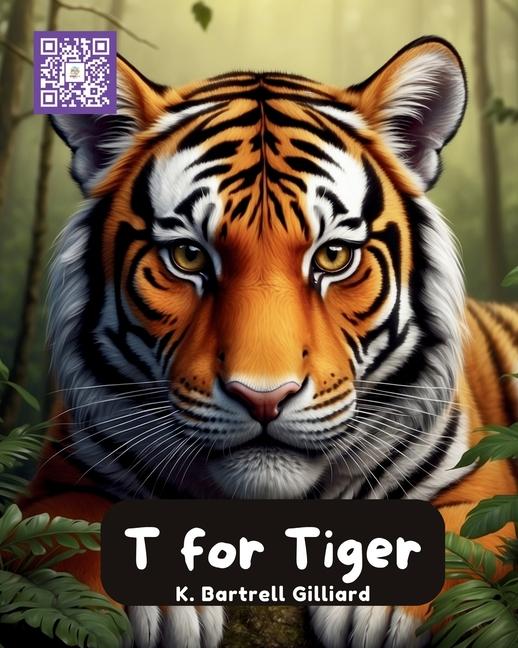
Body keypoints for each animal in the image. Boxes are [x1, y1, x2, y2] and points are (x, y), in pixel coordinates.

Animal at [21, 35, 518, 648]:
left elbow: (464, 534)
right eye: (188, 256)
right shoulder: (52, 487)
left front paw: (385, 613)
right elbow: (75, 530)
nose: (264, 397)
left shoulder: (486, 484)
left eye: (334, 255)